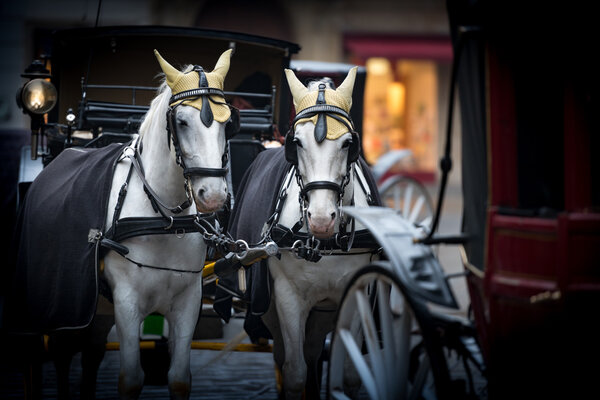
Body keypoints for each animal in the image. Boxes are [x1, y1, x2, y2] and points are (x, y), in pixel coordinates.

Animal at [102, 50, 233, 400]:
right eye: (182, 122)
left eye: (229, 122)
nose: (213, 195)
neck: (165, 219)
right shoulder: (126, 302)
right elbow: (131, 378)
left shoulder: (189, 300)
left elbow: (179, 377)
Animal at [262, 67, 378, 398]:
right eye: (297, 142)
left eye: (348, 143)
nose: (322, 219)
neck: (325, 244)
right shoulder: (287, 297)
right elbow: (294, 372)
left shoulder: (355, 295)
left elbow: (350, 373)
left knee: (314, 349)